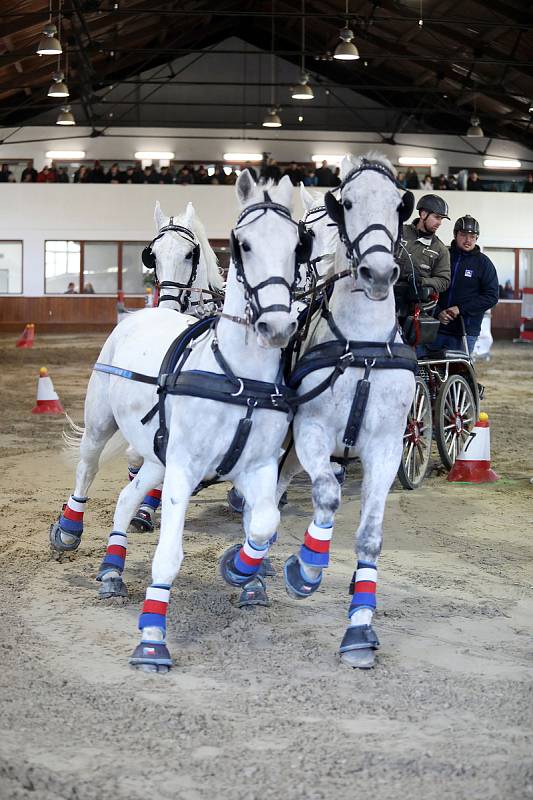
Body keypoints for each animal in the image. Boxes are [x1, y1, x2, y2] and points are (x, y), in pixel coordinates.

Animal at [53, 172, 308, 672]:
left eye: (297, 246)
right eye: (242, 245)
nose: (277, 325)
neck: (236, 375)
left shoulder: (256, 467)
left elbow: (263, 522)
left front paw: (241, 572)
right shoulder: (184, 469)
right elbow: (169, 554)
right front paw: (152, 640)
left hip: (158, 454)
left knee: (127, 496)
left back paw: (112, 570)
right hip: (101, 424)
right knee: (88, 469)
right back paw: (69, 532)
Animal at [276, 152, 418, 668]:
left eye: (398, 205)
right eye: (350, 203)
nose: (377, 273)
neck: (364, 348)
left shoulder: (387, 448)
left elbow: (370, 535)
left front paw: (359, 628)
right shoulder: (312, 433)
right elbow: (327, 496)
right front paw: (305, 571)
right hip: (289, 445)